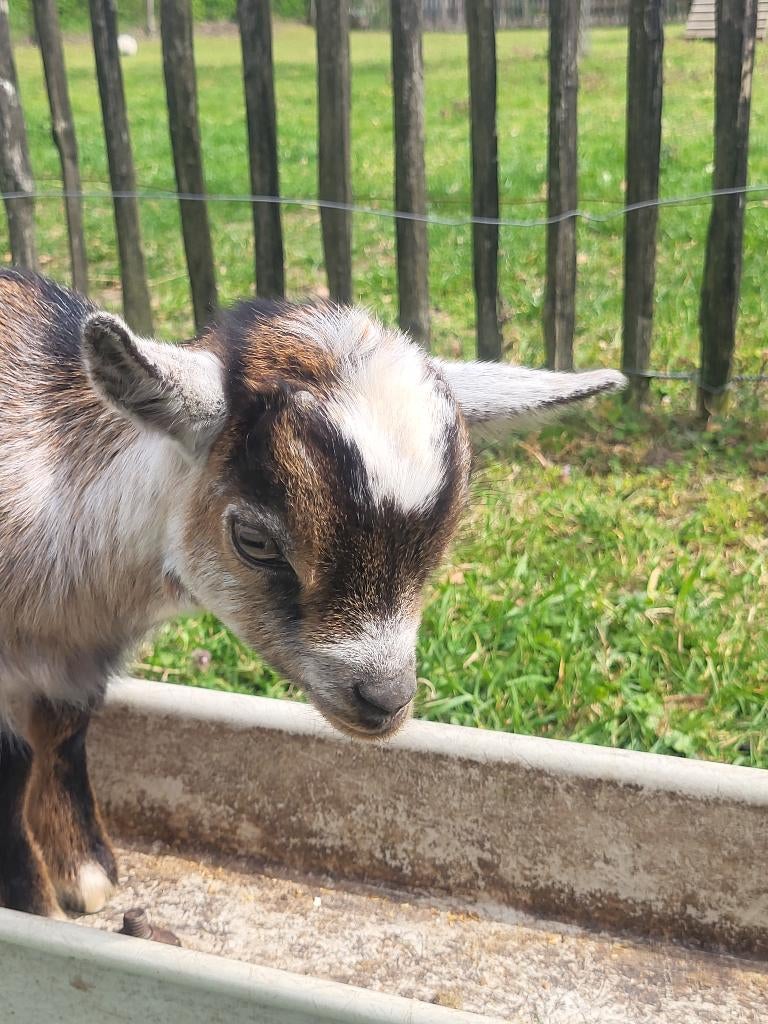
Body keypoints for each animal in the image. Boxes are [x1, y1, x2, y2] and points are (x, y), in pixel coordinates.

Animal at [0, 269, 624, 917]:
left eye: (446, 537)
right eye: (254, 540)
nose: (385, 698)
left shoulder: (77, 661)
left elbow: (62, 738)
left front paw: (86, 874)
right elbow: (11, 766)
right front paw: (37, 903)